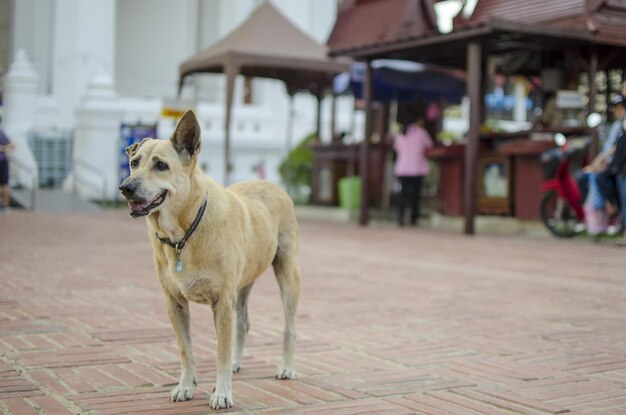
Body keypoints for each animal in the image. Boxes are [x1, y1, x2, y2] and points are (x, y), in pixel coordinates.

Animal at [120, 109, 302, 410]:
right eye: (134, 163)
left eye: (160, 165)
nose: (125, 187)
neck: (183, 233)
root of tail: (271, 184)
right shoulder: (174, 303)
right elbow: (186, 350)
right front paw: (185, 386)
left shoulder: (222, 302)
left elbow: (221, 353)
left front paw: (222, 393)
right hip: (243, 283)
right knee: (243, 323)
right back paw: (239, 362)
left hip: (287, 274)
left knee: (289, 326)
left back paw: (287, 367)